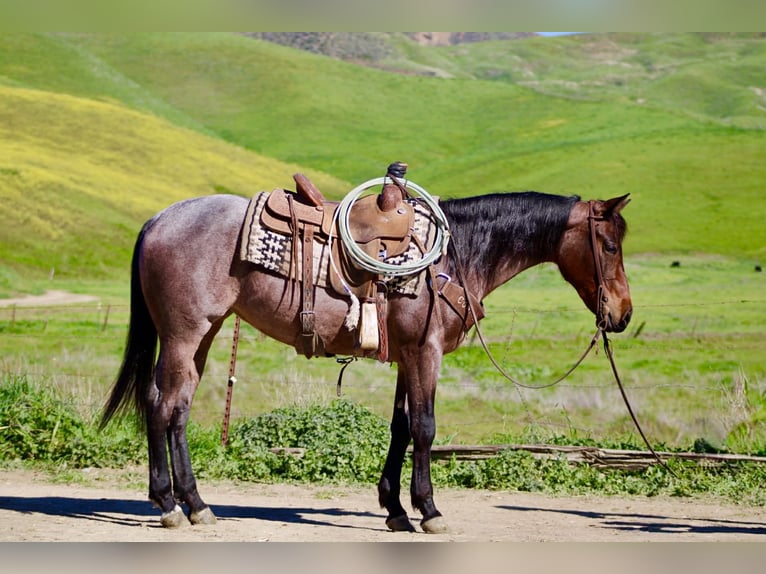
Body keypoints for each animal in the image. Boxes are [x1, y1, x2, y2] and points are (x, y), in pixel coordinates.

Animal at [101, 188, 632, 533]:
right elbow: (425, 427)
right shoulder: (425, 352)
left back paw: (194, 503)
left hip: (203, 334)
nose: (623, 314)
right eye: (609, 245)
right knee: (161, 406)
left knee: (177, 409)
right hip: (183, 335)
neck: (455, 255)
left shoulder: (405, 356)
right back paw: (169, 505)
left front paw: (395, 508)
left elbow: (400, 427)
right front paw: (429, 510)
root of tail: (159, 219)